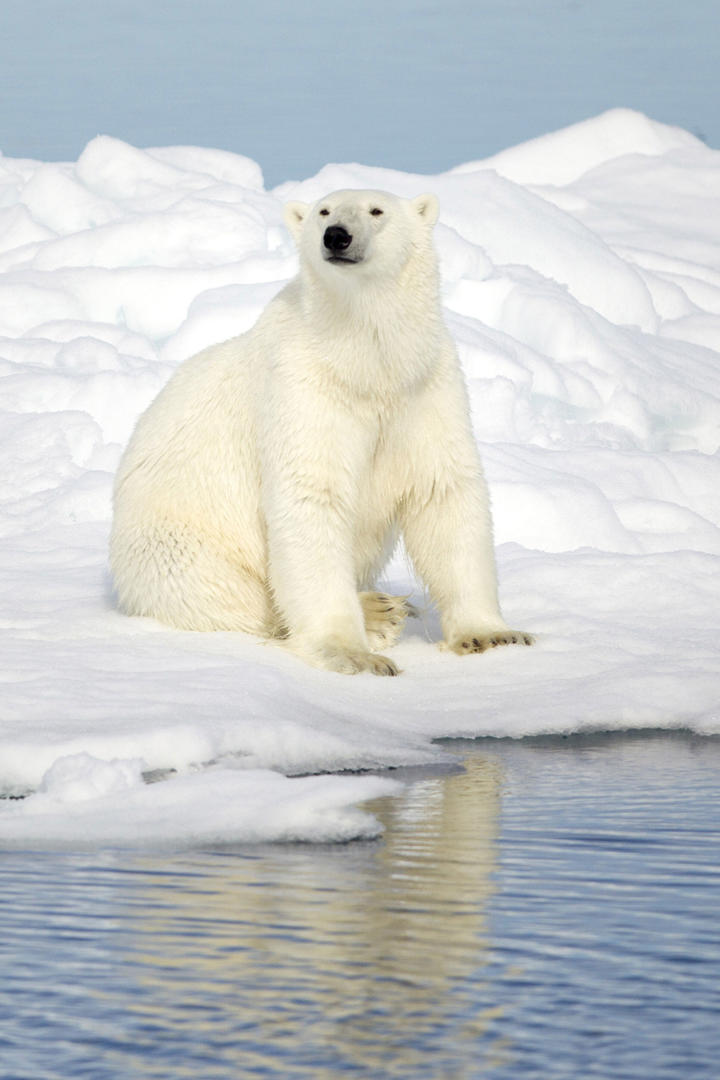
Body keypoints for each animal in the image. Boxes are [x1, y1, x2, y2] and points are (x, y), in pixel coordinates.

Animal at [110, 189, 533, 669]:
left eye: (376, 210)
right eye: (323, 211)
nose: (336, 236)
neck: (366, 363)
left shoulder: (424, 386)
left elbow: (443, 491)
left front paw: (493, 635)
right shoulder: (304, 387)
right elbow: (312, 496)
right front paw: (354, 654)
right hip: (176, 544)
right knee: (228, 594)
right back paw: (378, 612)